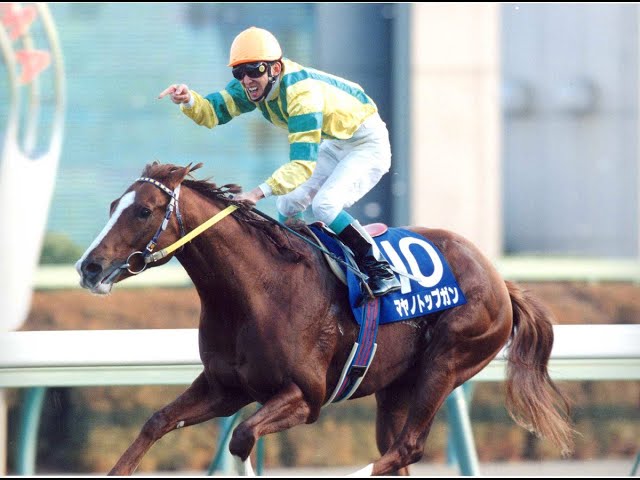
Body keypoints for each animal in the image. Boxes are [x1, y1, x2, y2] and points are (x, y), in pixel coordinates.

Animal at [75, 161, 574, 476]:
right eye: (113, 206)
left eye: (143, 211)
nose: (88, 267)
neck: (257, 290)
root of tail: (500, 281)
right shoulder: (225, 388)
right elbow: (157, 422)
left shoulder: (305, 397)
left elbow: (242, 438)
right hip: (397, 387)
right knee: (397, 452)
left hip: (448, 361)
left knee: (407, 447)